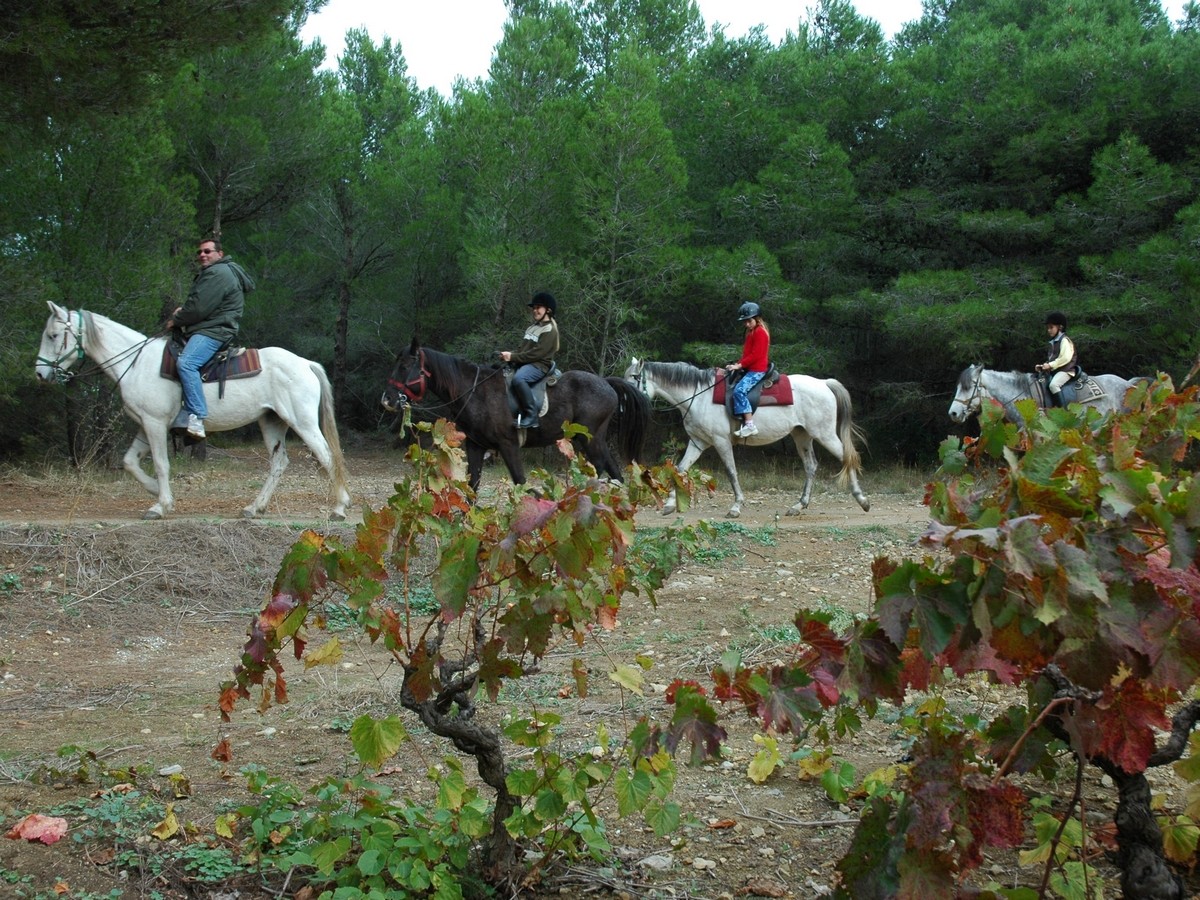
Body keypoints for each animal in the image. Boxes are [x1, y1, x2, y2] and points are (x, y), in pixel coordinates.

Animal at [34, 303, 350, 520]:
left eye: (53, 335)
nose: (39, 374)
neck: (138, 363)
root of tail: (305, 363)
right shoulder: (145, 425)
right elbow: (130, 462)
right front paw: (155, 492)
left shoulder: (155, 424)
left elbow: (161, 464)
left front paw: (160, 505)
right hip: (271, 422)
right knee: (279, 463)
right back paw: (254, 507)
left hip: (302, 421)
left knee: (327, 456)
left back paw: (339, 508)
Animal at [381, 340, 648, 494]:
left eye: (404, 367)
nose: (387, 400)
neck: (476, 391)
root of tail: (607, 383)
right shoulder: (476, 446)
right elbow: (473, 485)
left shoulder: (508, 445)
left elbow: (520, 481)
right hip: (594, 440)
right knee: (613, 472)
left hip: (589, 439)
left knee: (600, 469)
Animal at [624, 355, 868, 518]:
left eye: (634, 378)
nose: (625, 402)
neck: (698, 395)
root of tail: (824, 383)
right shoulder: (698, 442)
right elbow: (680, 469)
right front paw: (669, 505)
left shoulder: (721, 441)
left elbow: (731, 472)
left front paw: (736, 507)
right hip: (802, 436)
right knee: (811, 466)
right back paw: (799, 506)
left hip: (824, 434)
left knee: (848, 457)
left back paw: (862, 500)